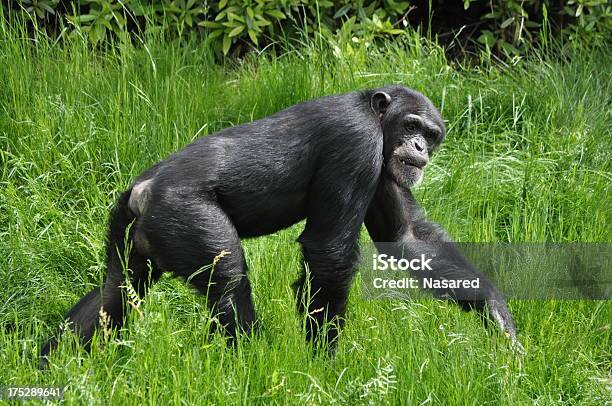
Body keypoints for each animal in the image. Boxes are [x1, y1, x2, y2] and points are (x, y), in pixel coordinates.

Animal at [40, 85, 520, 364]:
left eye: (432, 135)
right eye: (412, 124)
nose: (420, 146)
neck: (377, 120)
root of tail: (142, 190)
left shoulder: (385, 170)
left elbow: (405, 238)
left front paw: (497, 316)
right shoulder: (355, 144)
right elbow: (329, 250)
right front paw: (324, 365)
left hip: (134, 234)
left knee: (116, 292)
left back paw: (51, 363)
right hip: (184, 215)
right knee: (228, 279)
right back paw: (251, 362)